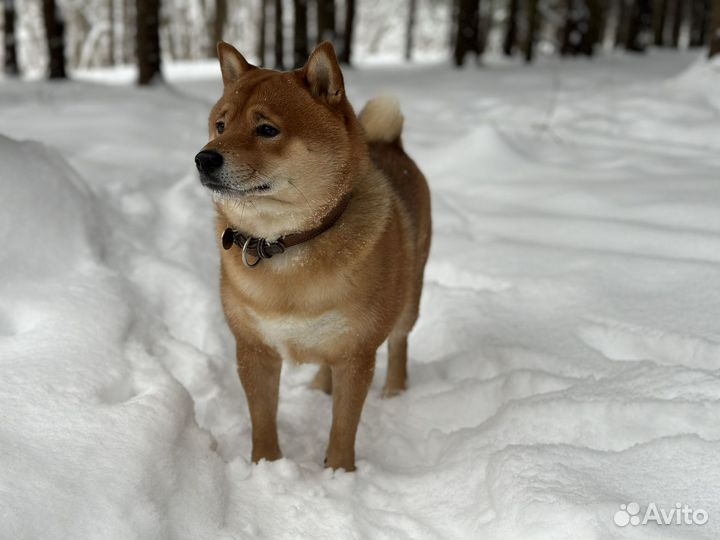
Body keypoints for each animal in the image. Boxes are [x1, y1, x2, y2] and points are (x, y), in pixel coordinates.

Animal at [194, 40, 430, 470]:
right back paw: (320, 387)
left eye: (266, 129)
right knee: (324, 362)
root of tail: (390, 144)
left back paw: (394, 392)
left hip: (408, 298)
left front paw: (339, 473)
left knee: (400, 343)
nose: (204, 159)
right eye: (220, 126)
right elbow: (262, 419)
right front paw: (266, 466)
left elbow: (343, 427)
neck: (287, 242)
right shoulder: (254, 348)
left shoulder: (357, 353)